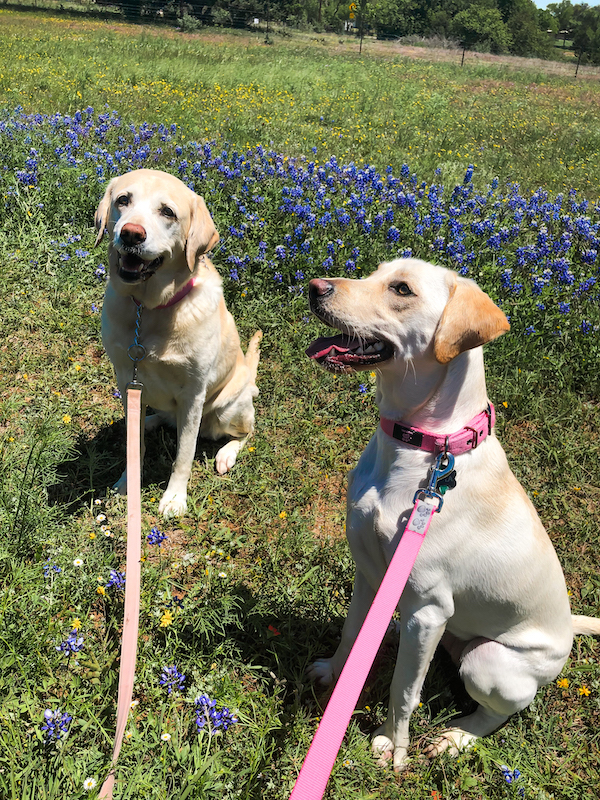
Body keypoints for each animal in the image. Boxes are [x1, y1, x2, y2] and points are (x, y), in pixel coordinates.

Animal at [96, 170, 260, 520]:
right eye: (123, 200)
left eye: (168, 212)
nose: (131, 234)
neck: (150, 309)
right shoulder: (127, 379)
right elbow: (136, 447)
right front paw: (126, 484)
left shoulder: (192, 393)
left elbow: (184, 452)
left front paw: (174, 498)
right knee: (158, 418)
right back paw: (148, 421)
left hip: (228, 408)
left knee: (244, 432)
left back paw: (226, 453)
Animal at [308, 256, 596, 768]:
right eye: (374, 271)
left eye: (401, 289)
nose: (312, 286)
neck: (420, 448)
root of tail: (567, 633)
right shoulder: (369, 573)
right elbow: (351, 635)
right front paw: (334, 673)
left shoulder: (428, 610)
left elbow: (404, 690)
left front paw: (392, 747)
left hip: (488, 663)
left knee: (497, 714)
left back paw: (457, 737)